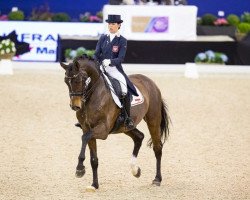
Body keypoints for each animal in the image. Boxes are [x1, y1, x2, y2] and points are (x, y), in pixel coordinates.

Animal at [59, 55, 171, 191]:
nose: (75, 106)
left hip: (153, 119)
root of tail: (150, 81)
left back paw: (157, 179)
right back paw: (135, 170)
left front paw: (80, 169)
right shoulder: (88, 129)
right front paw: (94, 185)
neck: (93, 95)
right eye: (66, 81)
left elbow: (84, 138)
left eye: (79, 80)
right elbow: (94, 159)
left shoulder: (103, 130)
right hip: (125, 127)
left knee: (157, 147)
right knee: (139, 137)